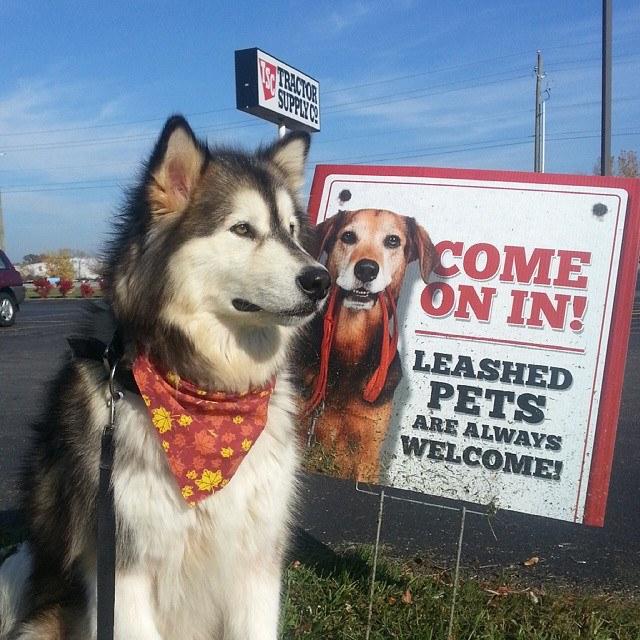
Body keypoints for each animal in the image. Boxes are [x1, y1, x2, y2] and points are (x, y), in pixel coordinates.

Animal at [0, 116, 330, 640]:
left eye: (293, 232)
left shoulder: (258, 560)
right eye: (242, 229)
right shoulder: (122, 566)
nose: (321, 280)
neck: (209, 392)